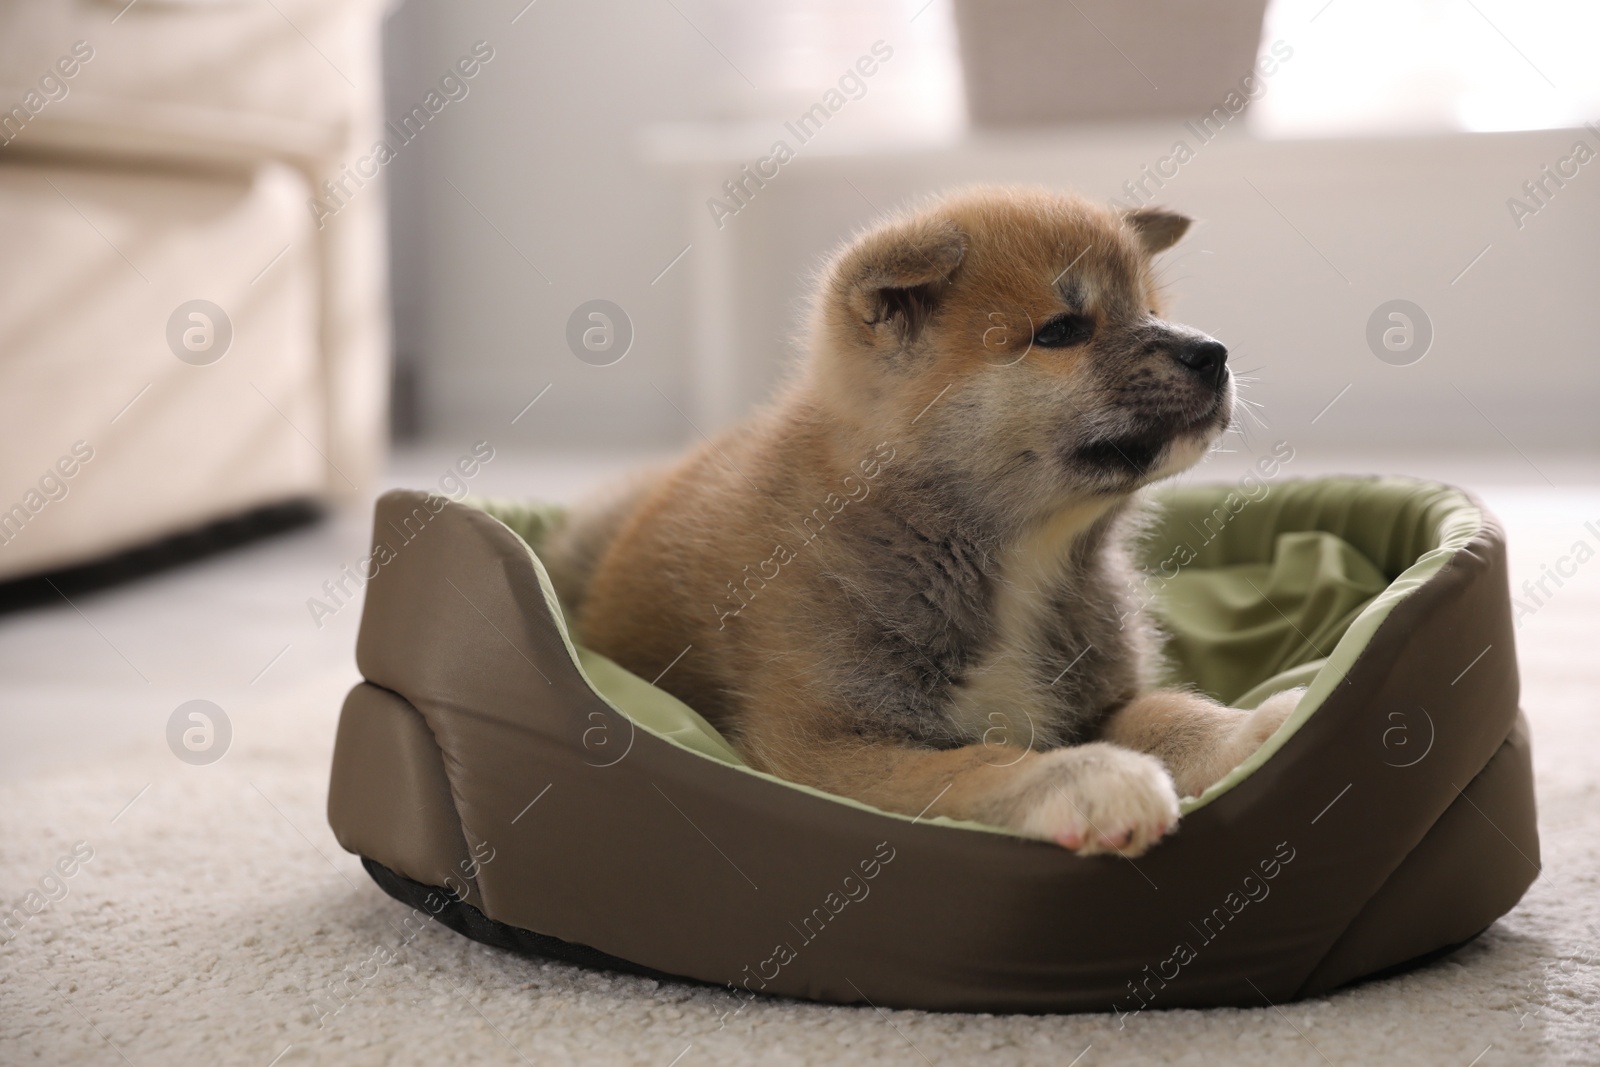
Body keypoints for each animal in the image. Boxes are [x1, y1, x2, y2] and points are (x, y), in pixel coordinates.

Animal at [550, 185, 1299, 857]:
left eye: (1149, 309)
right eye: (1062, 330)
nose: (1213, 353)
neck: (1016, 562)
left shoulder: (1101, 698)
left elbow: (1173, 712)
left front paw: (1255, 729)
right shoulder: (823, 747)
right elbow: (975, 762)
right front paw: (1084, 776)